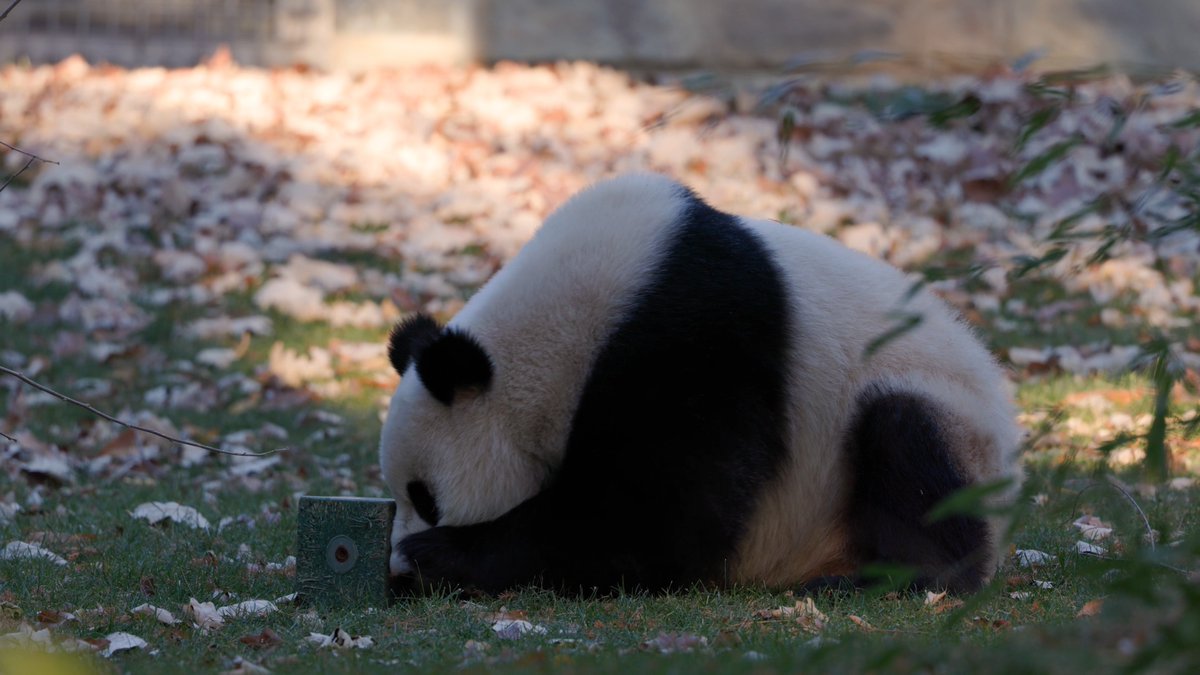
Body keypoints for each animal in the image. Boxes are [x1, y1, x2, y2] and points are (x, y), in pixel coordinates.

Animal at [380, 173, 1022, 596]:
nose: (395, 569)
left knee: (906, 442)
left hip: (947, 422)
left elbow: (663, 516)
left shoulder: (696, 336)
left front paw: (438, 558)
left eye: (425, 497)